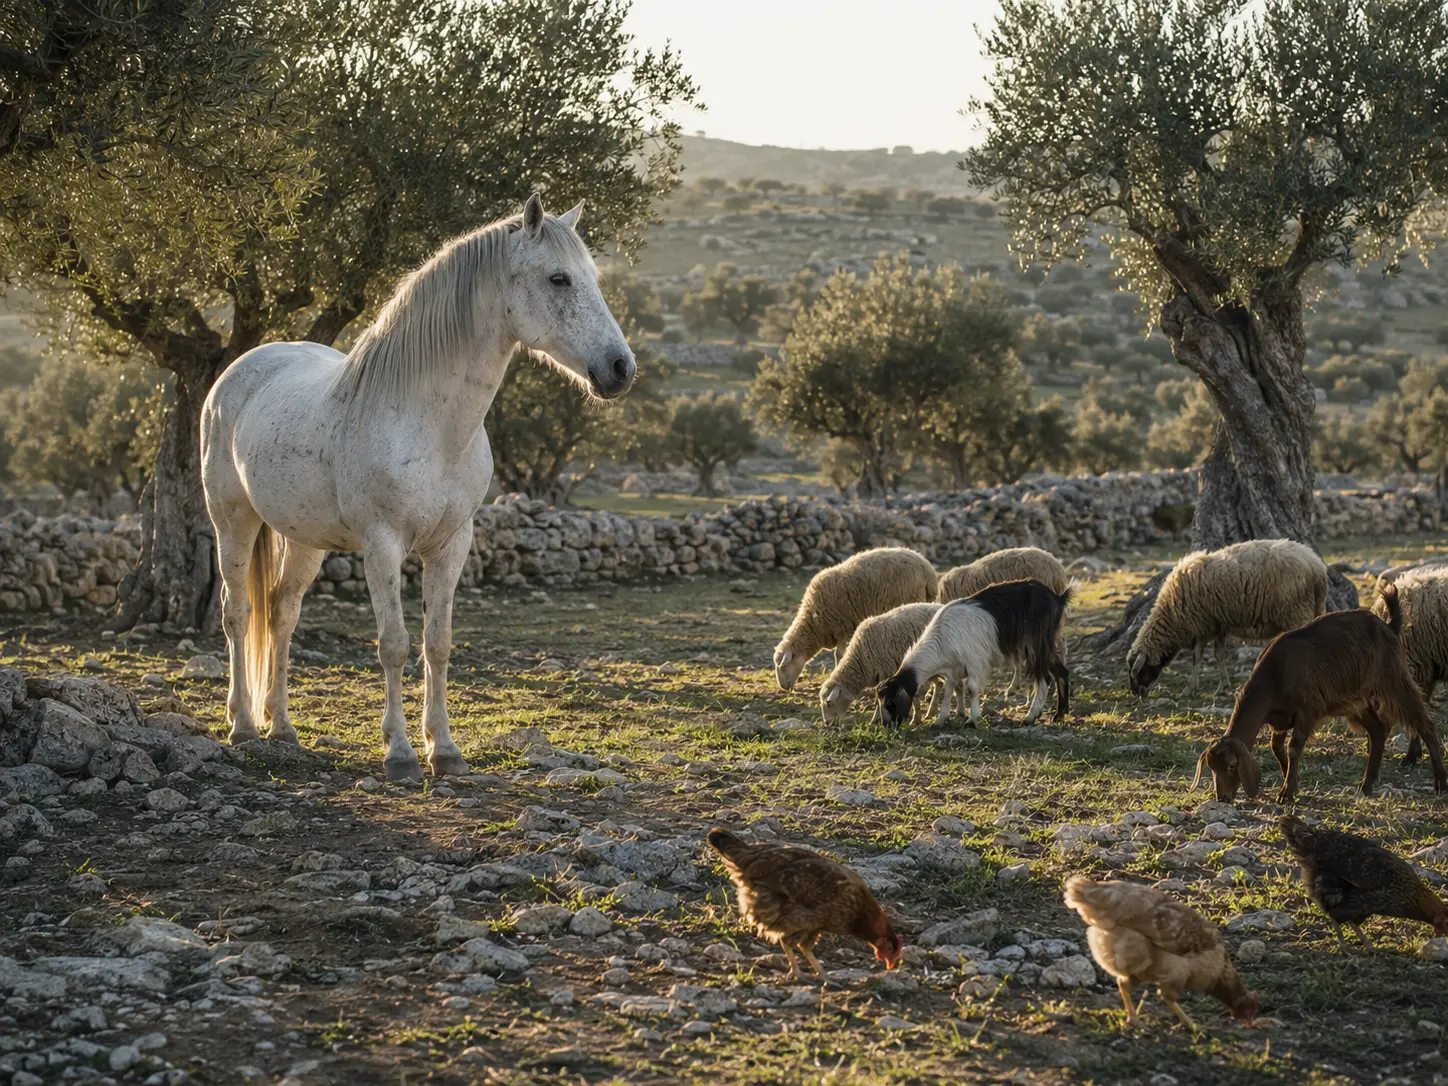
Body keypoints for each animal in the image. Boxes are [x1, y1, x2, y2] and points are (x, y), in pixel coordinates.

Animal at [200, 195, 633, 781]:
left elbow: (438, 644)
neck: (429, 423)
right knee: (239, 613)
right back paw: (244, 725)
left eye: (592, 277)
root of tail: (238, 372)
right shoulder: (383, 544)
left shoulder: (452, 544)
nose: (620, 368)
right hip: (233, 521)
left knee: (282, 613)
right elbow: (394, 645)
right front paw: (401, 754)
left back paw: (283, 729)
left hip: (304, 538)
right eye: (559, 278)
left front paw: (445, 750)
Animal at [773, 547, 937, 691]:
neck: (813, 626)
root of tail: (927, 569)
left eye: (783, 666)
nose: (783, 687)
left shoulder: (843, 628)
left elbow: (840, 655)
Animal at [876, 579, 1072, 729]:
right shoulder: (953, 670)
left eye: (891, 703)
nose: (888, 727)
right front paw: (939, 720)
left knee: (1044, 677)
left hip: (1036, 645)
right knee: (1061, 673)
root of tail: (1057, 598)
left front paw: (972, 719)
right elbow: (948, 691)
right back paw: (1059, 714)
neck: (941, 641)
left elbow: (972, 689)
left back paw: (1030, 716)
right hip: (1045, 645)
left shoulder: (974, 662)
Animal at [1126, 539, 1328, 696]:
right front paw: (1223, 686)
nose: (1136, 693)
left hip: (1297, 611)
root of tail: (1317, 567)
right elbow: (1219, 654)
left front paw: (1189, 689)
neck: (1172, 616)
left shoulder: (1202, 626)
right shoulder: (1219, 625)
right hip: (1312, 609)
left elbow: (1197, 657)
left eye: (1139, 671)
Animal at [1195, 586, 1446, 803]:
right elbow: (1277, 747)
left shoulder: (1307, 709)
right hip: (1356, 701)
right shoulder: (1280, 719)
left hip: (1393, 681)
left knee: (1424, 724)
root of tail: (1388, 627)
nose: (1223, 798)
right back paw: (1366, 785)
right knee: (1378, 730)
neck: (1275, 674)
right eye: (1211, 768)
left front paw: (1286, 792)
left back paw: (1440, 783)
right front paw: (1291, 783)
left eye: (1232, 766)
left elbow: (1293, 747)